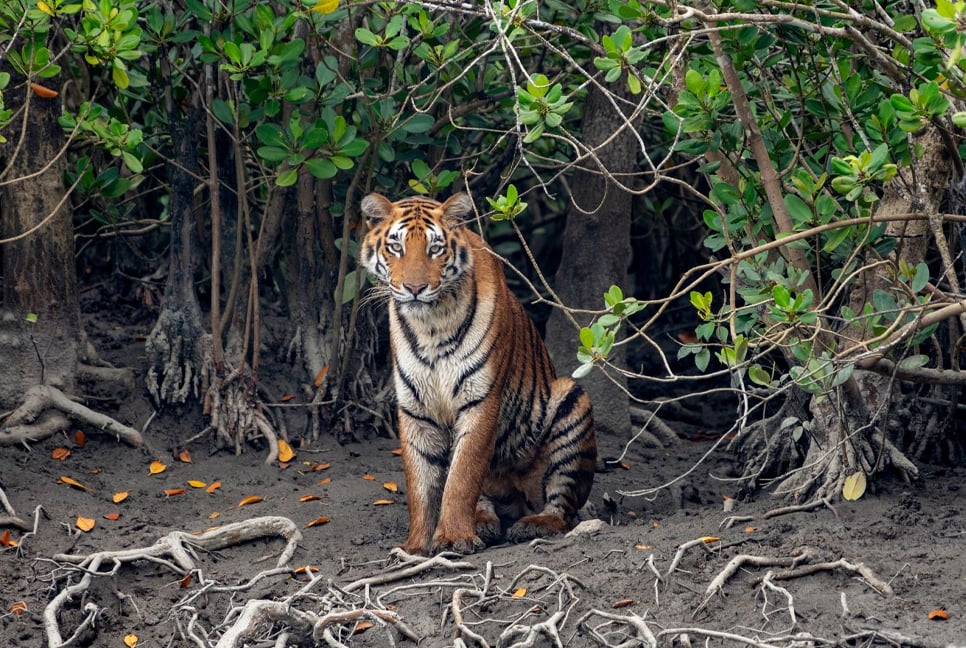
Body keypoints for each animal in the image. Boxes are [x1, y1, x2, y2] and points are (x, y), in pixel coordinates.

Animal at [360, 190, 592, 556]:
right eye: (396, 246)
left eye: (435, 248)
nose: (414, 288)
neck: (431, 325)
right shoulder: (416, 408)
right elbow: (421, 484)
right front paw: (415, 546)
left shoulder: (480, 399)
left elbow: (462, 476)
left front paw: (454, 537)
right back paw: (483, 521)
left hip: (571, 398)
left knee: (562, 506)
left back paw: (533, 524)